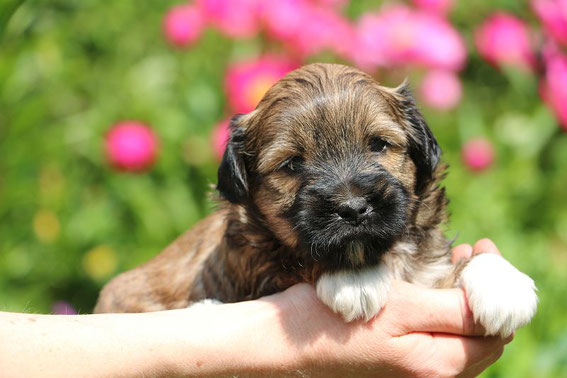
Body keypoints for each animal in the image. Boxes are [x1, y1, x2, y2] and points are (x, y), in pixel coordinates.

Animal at [95, 64, 540, 336]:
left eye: (378, 145)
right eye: (292, 164)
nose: (354, 209)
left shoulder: (425, 272)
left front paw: (503, 284)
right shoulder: (252, 261)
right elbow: (293, 259)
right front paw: (355, 278)